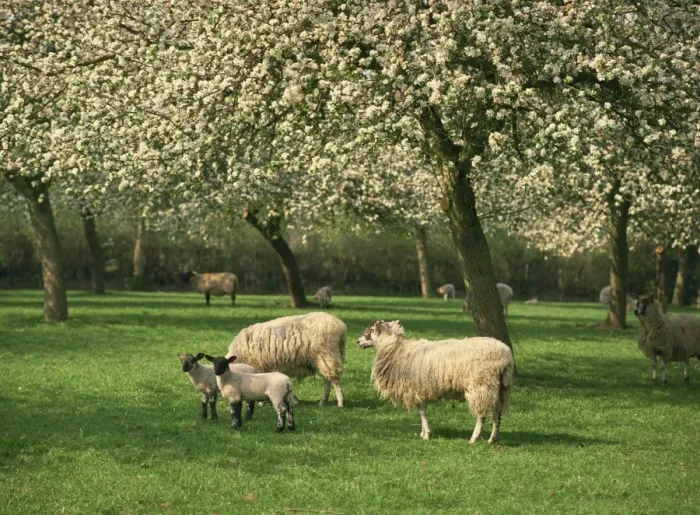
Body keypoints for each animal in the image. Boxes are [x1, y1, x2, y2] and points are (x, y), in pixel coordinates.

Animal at [357, 320, 515, 443]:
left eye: (372, 330)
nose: (357, 341)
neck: (396, 350)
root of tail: (505, 356)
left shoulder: (416, 389)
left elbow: (422, 412)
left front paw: (426, 434)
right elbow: (422, 411)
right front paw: (423, 433)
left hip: (480, 385)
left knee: (482, 414)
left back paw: (474, 438)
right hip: (501, 388)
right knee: (497, 412)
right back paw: (492, 439)